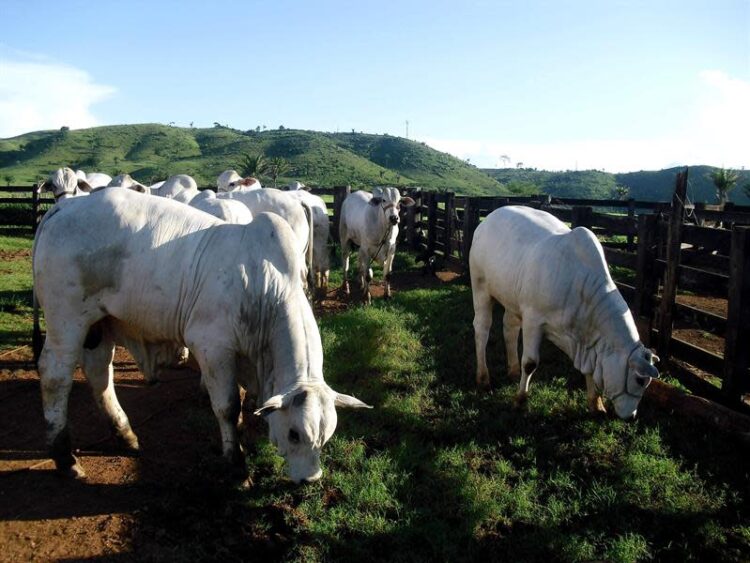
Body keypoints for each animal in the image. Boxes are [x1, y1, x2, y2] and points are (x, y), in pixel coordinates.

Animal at [33, 192, 374, 482]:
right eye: (294, 434)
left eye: (326, 437)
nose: (311, 479)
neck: (266, 286)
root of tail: (64, 207)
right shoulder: (212, 347)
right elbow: (227, 406)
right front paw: (236, 464)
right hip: (67, 320)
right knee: (55, 376)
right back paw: (65, 458)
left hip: (99, 324)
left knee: (99, 374)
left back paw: (125, 434)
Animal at [472, 206, 660, 418]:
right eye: (639, 380)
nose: (631, 416)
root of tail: (490, 217)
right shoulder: (533, 320)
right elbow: (530, 363)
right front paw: (520, 400)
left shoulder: (587, 341)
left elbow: (589, 370)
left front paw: (596, 404)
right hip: (480, 285)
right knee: (482, 329)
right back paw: (483, 379)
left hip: (512, 297)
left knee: (509, 328)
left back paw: (512, 370)